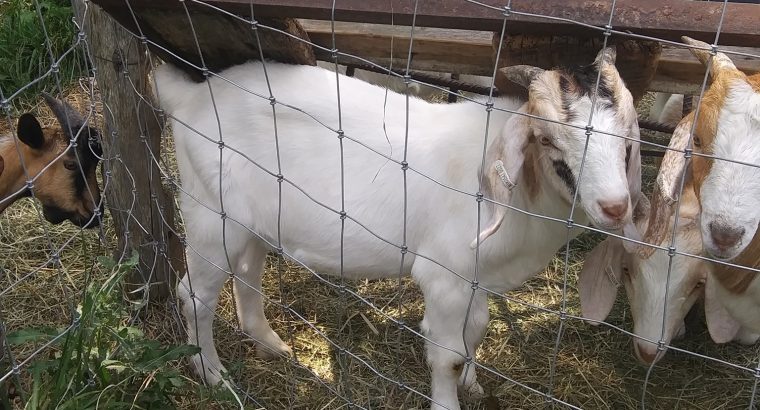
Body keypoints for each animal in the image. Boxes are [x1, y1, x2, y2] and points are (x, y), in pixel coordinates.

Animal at [154, 46, 642, 410]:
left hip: (253, 223)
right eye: (547, 139)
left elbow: (477, 331)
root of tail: (189, 97)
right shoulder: (445, 276)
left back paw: (270, 343)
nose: (615, 207)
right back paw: (213, 374)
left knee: (247, 274)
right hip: (208, 212)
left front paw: (473, 384)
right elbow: (447, 355)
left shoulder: (475, 278)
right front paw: (449, 398)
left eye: (627, 139)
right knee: (194, 295)